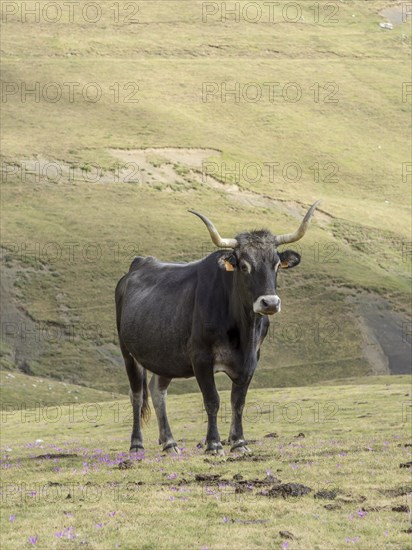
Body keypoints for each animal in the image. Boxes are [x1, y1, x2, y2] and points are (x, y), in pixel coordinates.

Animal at [114, 204, 320, 458]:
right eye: (244, 266)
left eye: (276, 265)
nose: (269, 303)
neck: (243, 331)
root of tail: (140, 262)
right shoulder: (201, 358)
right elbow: (212, 399)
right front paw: (213, 444)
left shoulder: (251, 361)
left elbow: (238, 401)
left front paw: (239, 442)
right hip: (128, 354)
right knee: (136, 395)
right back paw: (136, 444)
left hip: (165, 356)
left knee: (157, 391)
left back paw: (169, 443)